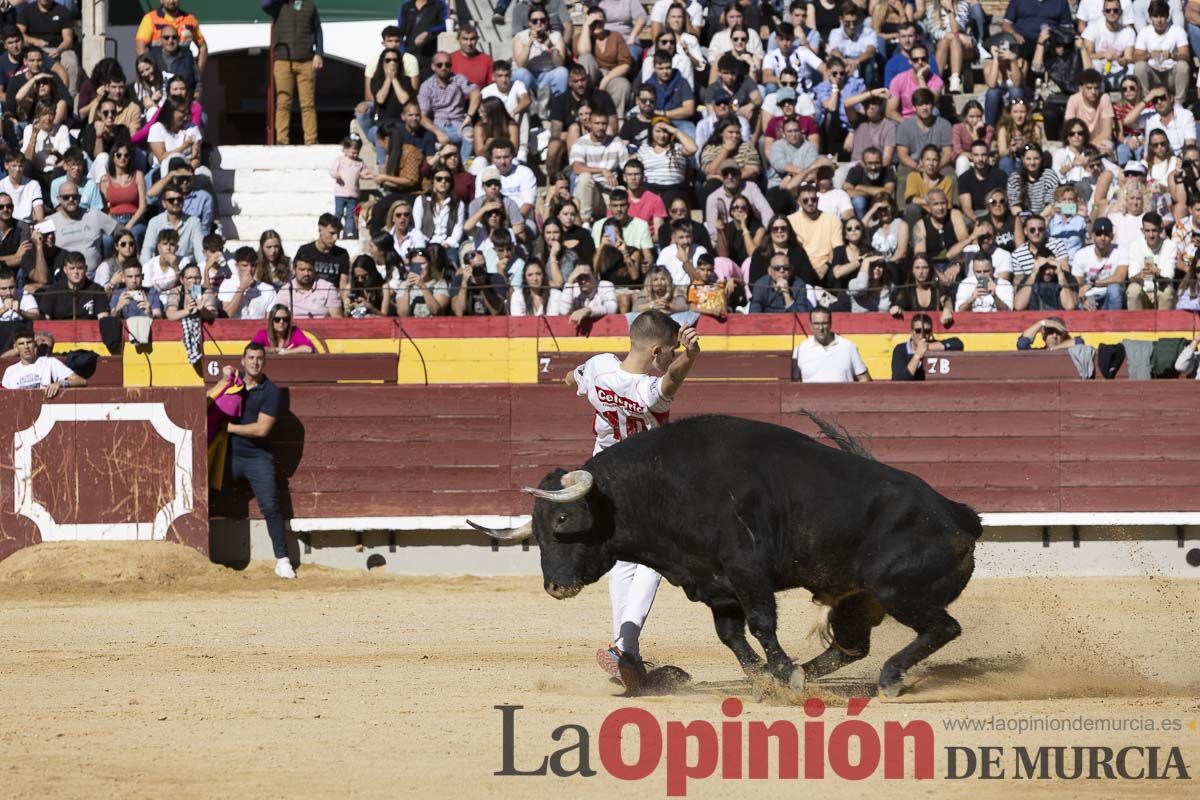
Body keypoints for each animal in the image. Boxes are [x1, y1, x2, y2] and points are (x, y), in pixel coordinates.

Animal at [465, 417, 974, 695]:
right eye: (537, 532)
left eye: (562, 521)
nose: (555, 586)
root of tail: (959, 516)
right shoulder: (715, 587)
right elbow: (731, 636)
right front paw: (766, 679)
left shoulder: (747, 571)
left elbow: (761, 624)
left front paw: (780, 674)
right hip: (859, 599)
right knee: (853, 645)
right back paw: (817, 674)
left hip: (899, 590)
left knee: (944, 628)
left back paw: (886, 678)